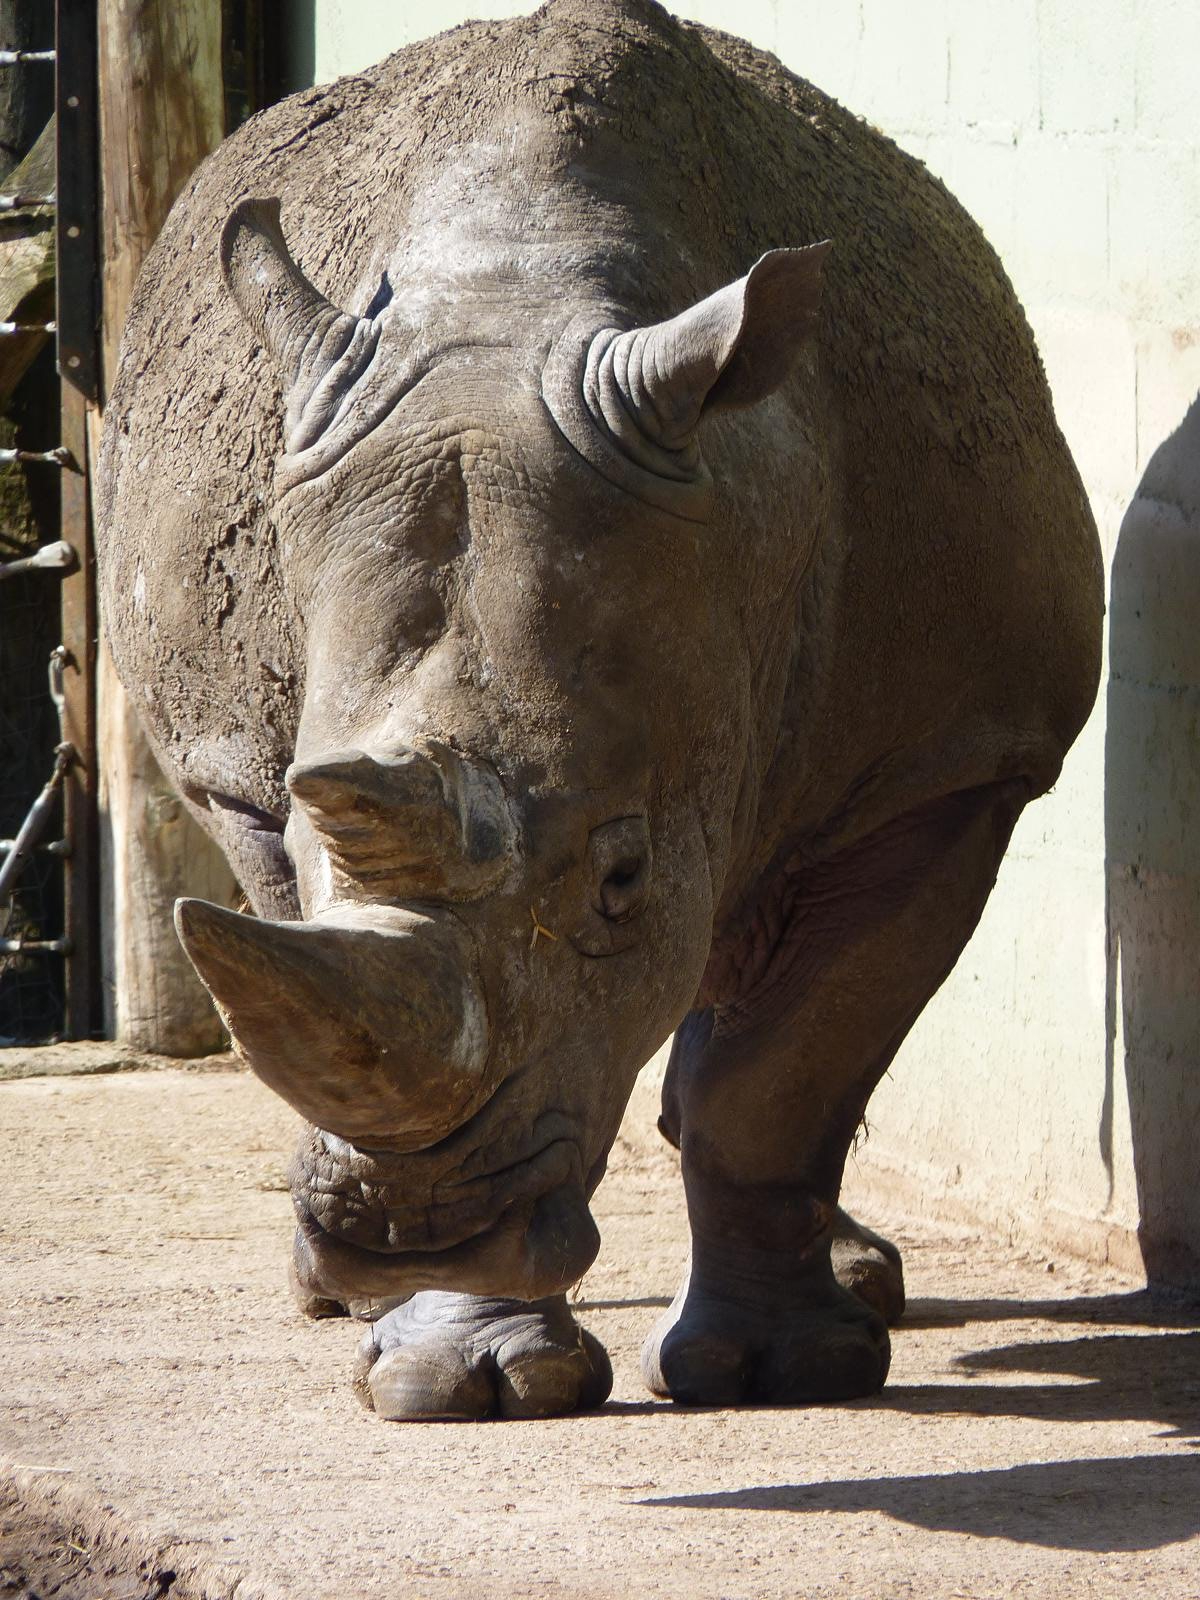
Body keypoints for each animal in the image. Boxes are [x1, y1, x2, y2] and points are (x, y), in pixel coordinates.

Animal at [97, 0, 1102, 1420]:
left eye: (621, 877)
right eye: (309, 817)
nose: (409, 1234)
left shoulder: (955, 758)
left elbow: (784, 1069)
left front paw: (788, 1372)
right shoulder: (256, 779)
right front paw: (461, 1378)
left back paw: (860, 1283)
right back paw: (331, 1301)